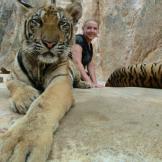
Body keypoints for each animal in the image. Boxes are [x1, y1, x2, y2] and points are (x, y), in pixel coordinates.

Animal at [0, 0, 90, 162]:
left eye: (62, 23)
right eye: (37, 21)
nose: (49, 43)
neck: (39, 65)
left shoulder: (60, 79)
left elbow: (43, 105)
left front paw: (23, 140)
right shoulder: (11, 76)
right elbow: (15, 84)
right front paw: (27, 99)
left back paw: (85, 84)